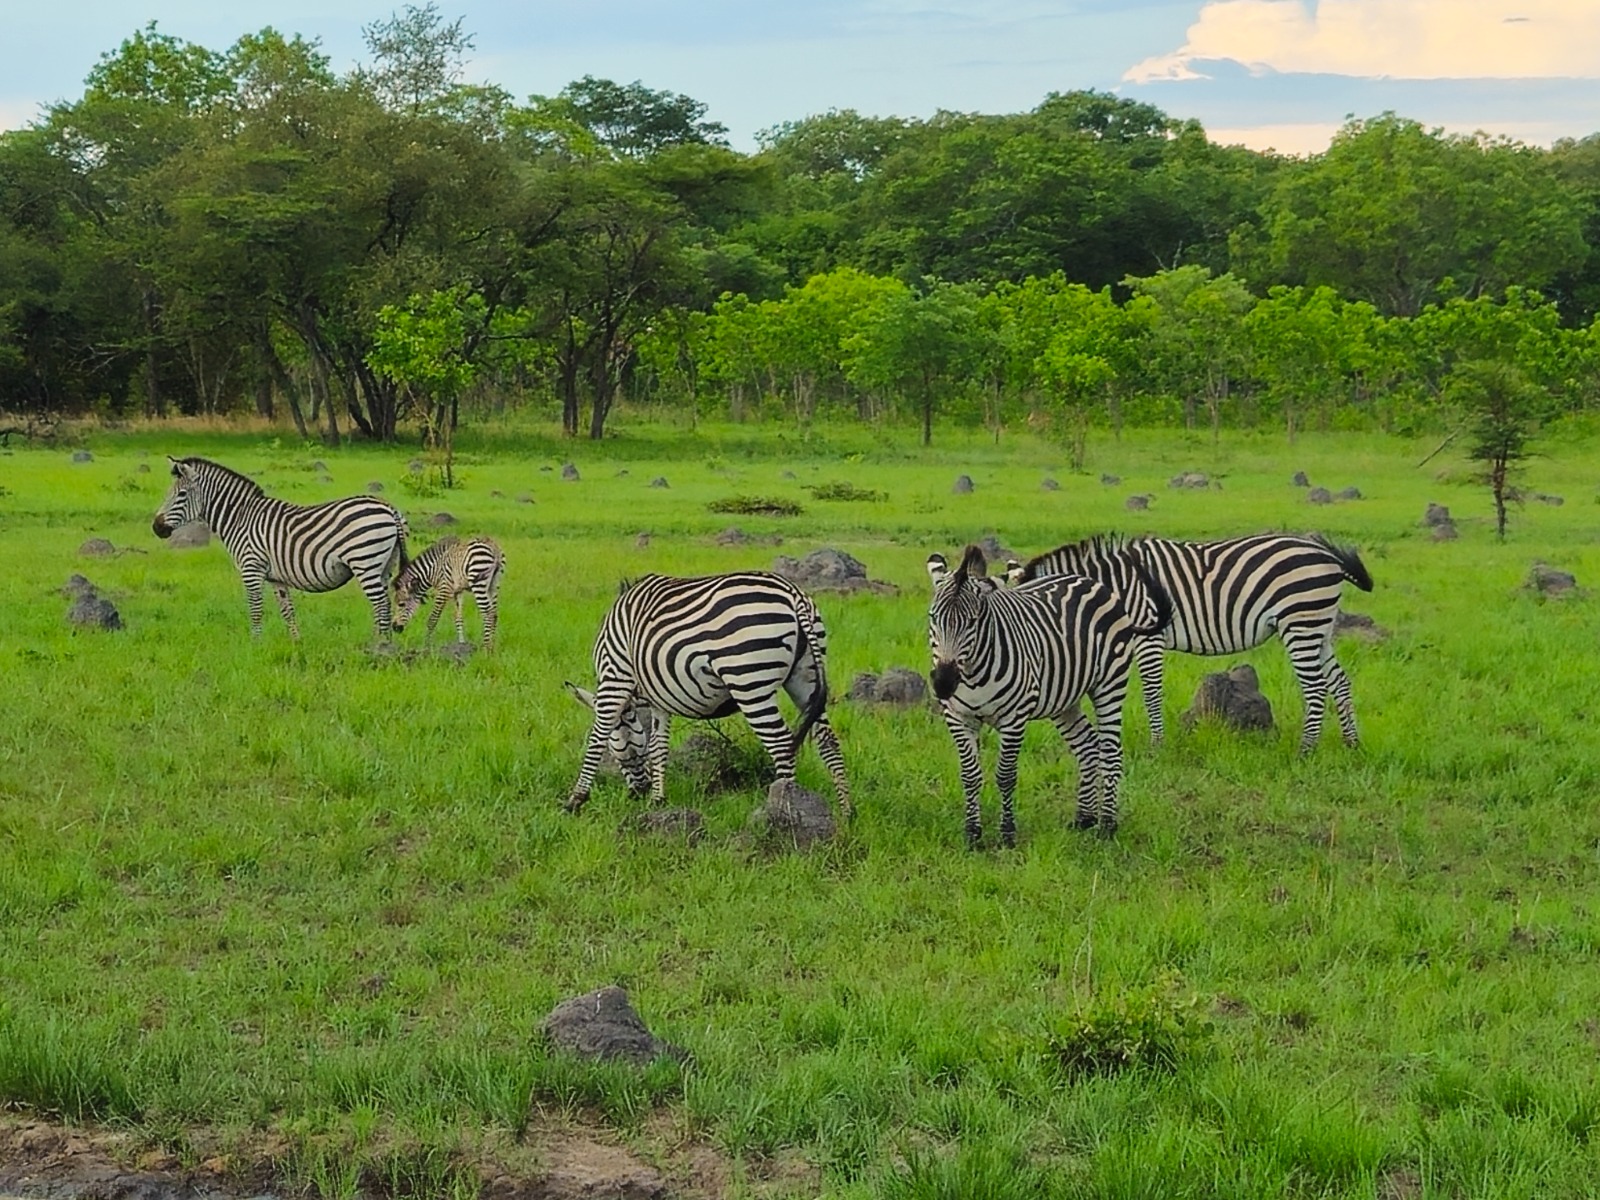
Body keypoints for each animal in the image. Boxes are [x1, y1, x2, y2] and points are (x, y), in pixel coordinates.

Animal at [152, 456, 409, 640]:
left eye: (181, 495)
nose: (156, 527)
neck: (240, 518)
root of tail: (388, 507)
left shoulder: (251, 568)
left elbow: (255, 609)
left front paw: (256, 645)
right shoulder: (276, 577)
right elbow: (287, 610)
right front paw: (296, 642)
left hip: (366, 563)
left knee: (381, 605)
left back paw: (379, 648)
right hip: (384, 566)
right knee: (384, 605)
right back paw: (380, 645)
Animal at [563, 571, 851, 817]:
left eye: (617, 753)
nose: (638, 793)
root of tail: (793, 595)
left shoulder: (615, 673)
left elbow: (598, 736)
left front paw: (576, 799)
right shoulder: (659, 698)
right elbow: (658, 746)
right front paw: (658, 800)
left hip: (748, 681)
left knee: (781, 745)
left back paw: (780, 812)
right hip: (806, 678)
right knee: (827, 740)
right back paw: (846, 812)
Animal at [929, 543, 1172, 846]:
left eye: (973, 621)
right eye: (933, 618)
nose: (943, 683)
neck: (972, 673)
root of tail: (1093, 582)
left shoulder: (1014, 717)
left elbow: (1005, 775)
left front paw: (1007, 835)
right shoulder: (958, 717)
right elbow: (970, 775)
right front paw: (973, 835)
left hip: (1110, 683)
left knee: (1110, 750)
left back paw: (1107, 826)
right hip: (1064, 699)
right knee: (1088, 745)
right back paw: (1084, 819)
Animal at [1018, 533, 1374, 754]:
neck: (1116, 585)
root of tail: (1324, 553)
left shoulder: (1148, 636)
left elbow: (1151, 691)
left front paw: (1156, 746)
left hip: (1300, 622)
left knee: (1315, 688)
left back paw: (1306, 749)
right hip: (1319, 626)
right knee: (1339, 682)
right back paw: (1351, 743)